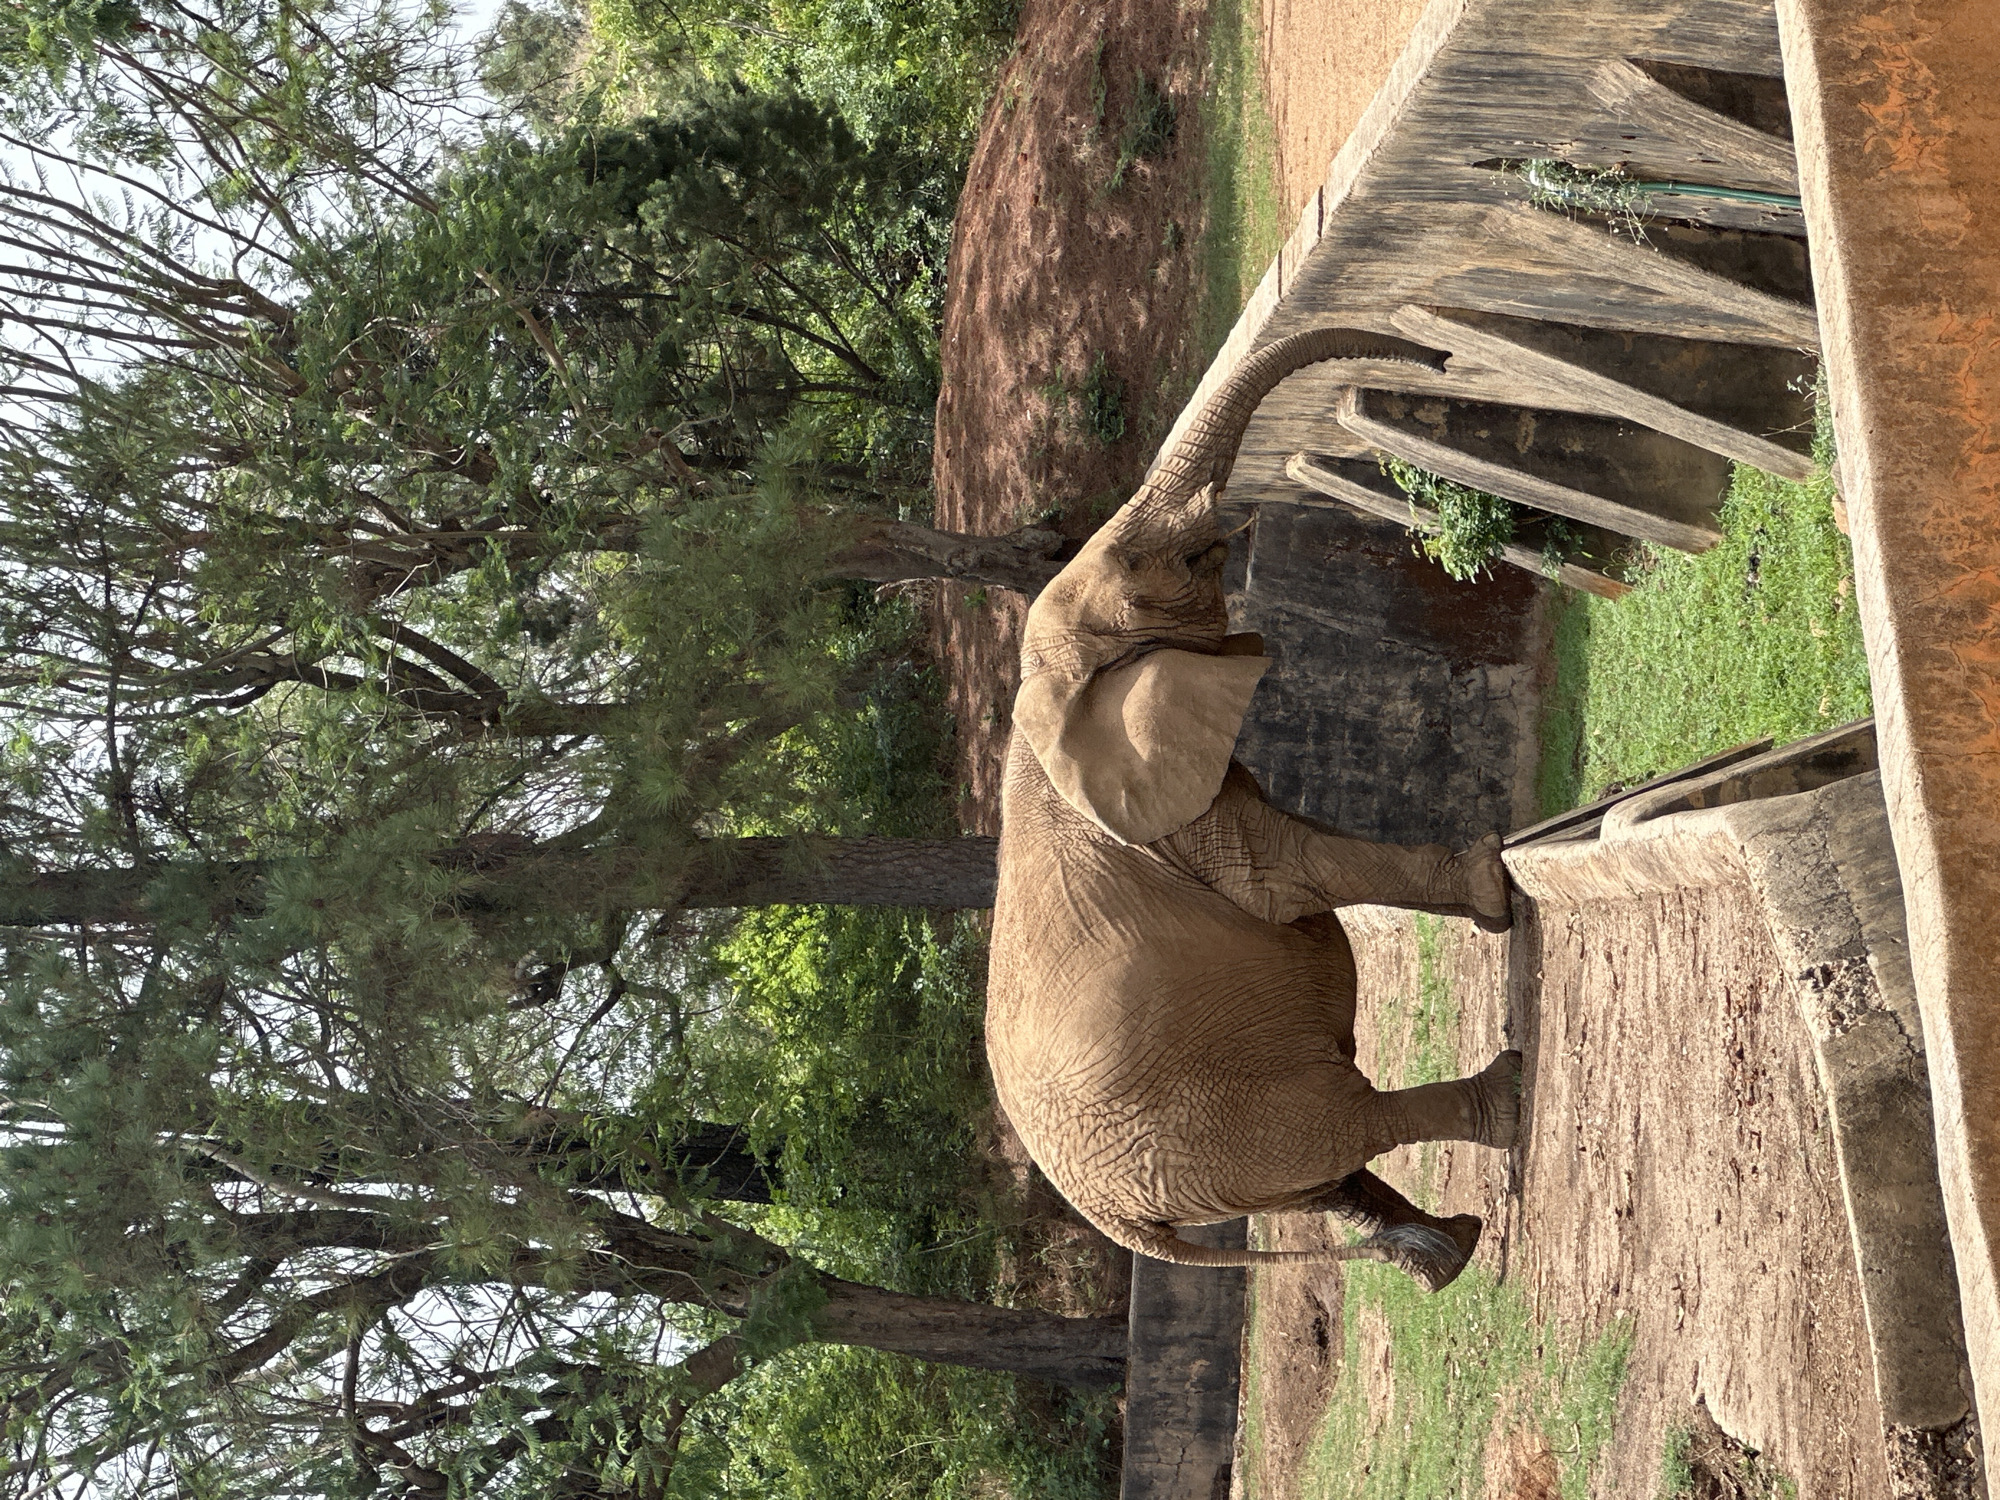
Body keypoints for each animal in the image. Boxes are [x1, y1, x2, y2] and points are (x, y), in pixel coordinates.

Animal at [985, 328, 1523, 1286]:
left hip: (1208, 1159)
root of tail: (1119, 1221)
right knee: (1352, 1124)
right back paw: (1503, 1104)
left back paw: (1448, 1253)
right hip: (1214, 1127)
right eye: (1137, 574)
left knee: (1328, 1184)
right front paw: (1493, 882)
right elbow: (1291, 873)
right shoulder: (1176, 820)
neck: (1043, 697)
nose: (1442, 361)